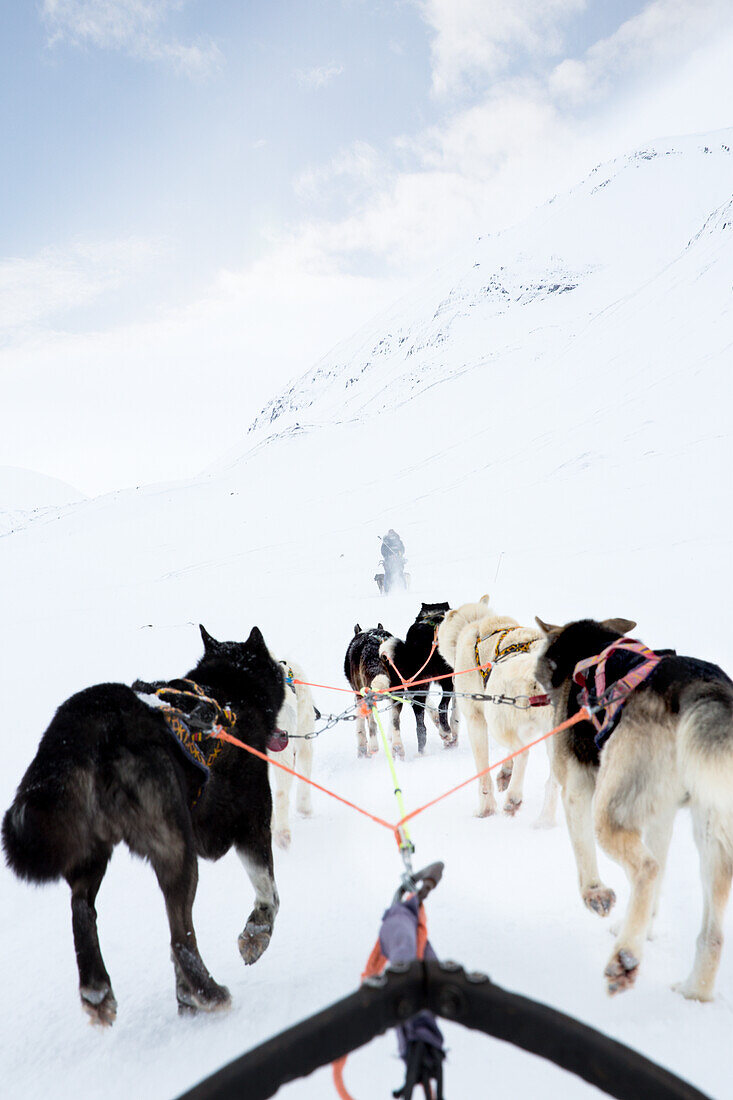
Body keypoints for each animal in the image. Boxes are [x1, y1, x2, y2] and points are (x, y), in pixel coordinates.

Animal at [2, 624, 281, 1025]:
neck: (228, 692)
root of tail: (85, 725)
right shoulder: (249, 820)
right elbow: (269, 893)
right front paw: (256, 936)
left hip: (92, 849)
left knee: (82, 908)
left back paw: (98, 989)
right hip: (177, 849)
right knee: (180, 938)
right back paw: (208, 993)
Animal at [435, 594, 556, 827]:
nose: (435, 632)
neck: (476, 625)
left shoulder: (476, 719)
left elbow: (483, 773)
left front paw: (485, 809)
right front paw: (505, 773)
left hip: (496, 721)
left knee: (523, 752)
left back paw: (513, 799)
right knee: (554, 779)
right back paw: (544, 820)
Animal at [530, 616, 730, 1003]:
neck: (588, 650)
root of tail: (702, 684)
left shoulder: (576, 789)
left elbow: (584, 858)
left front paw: (596, 895)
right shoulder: (661, 815)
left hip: (609, 812)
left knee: (647, 870)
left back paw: (625, 958)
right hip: (712, 835)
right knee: (712, 934)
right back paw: (693, 992)